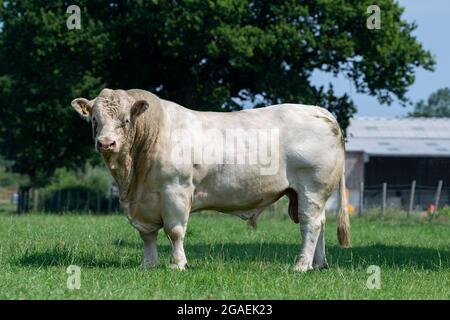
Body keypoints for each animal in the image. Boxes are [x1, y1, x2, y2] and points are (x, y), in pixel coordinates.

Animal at [72, 88, 350, 272]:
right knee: (320, 223)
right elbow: (148, 235)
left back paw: (300, 266)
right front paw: (148, 265)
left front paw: (178, 264)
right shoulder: (144, 202)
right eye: (94, 119)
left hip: (312, 187)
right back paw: (318, 264)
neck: (132, 179)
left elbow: (174, 231)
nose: (106, 143)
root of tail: (320, 111)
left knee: (310, 225)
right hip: (309, 194)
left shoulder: (176, 190)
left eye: (126, 120)